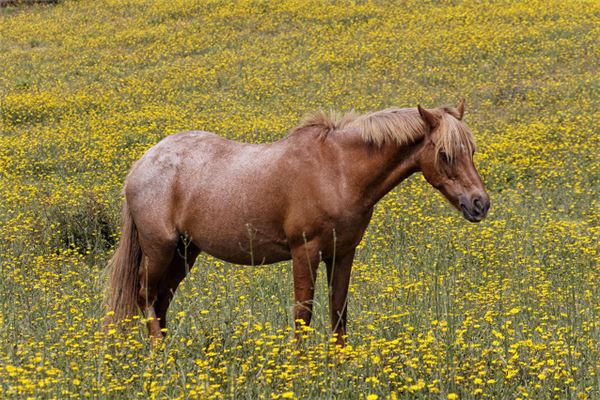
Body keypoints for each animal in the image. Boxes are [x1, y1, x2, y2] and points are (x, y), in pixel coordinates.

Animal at [104, 101, 488, 346]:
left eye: (471, 151)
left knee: (161, 301)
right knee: (145, 296)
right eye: (445, 154)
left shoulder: (343, 253)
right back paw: (160, 357)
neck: (338, 171)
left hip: (185, 253)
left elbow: (338, 310)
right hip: (160, 249)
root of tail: (142, 164)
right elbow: (303, 312)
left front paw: (340, 366)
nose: (480, 204)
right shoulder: (306, 252)